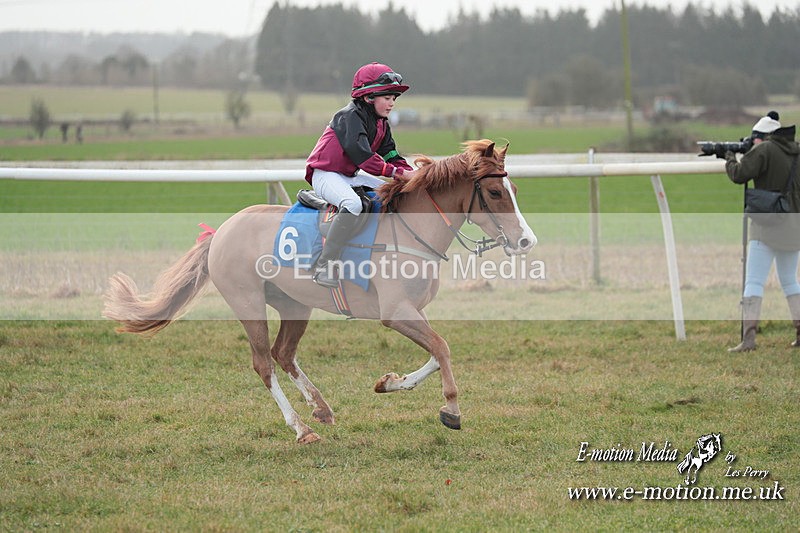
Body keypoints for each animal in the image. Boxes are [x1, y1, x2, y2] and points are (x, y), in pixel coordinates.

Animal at [103, 139, 537, 444]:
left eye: (515, 189)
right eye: (495, 194)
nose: (526, 241)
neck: (411, 230)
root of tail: (221, 231)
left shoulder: (412, 310)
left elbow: (435, 351)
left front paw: (389, 382)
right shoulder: (395, 312)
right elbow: (442, 349)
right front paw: (451, 409)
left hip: (295, 305)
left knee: (283, 353)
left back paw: (322, 409)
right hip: (247, 303)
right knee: (264, 363)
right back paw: (300, 428)